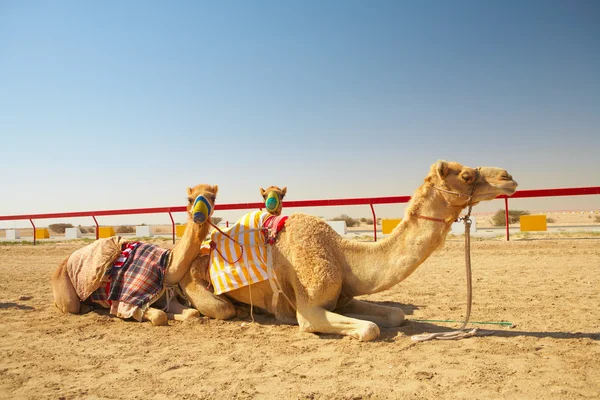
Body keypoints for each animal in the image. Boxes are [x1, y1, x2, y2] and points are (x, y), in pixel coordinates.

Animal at [52, 184, 218, 324]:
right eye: (190, 199)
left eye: (213, 197)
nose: (199, 214)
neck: (166, 266)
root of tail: (63, 262)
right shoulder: (127, 302)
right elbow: (159, 316)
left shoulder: (166, 297)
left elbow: (192, 313)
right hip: (65, 287)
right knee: (69, 305)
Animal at [178, 161, 516, 342]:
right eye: (466, 175)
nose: (508, 177)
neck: (341, 253)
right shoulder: (310, 310)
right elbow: (369, 328)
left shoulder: (345, 297)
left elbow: (394, 314)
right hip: (196, 282)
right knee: (218, 307)